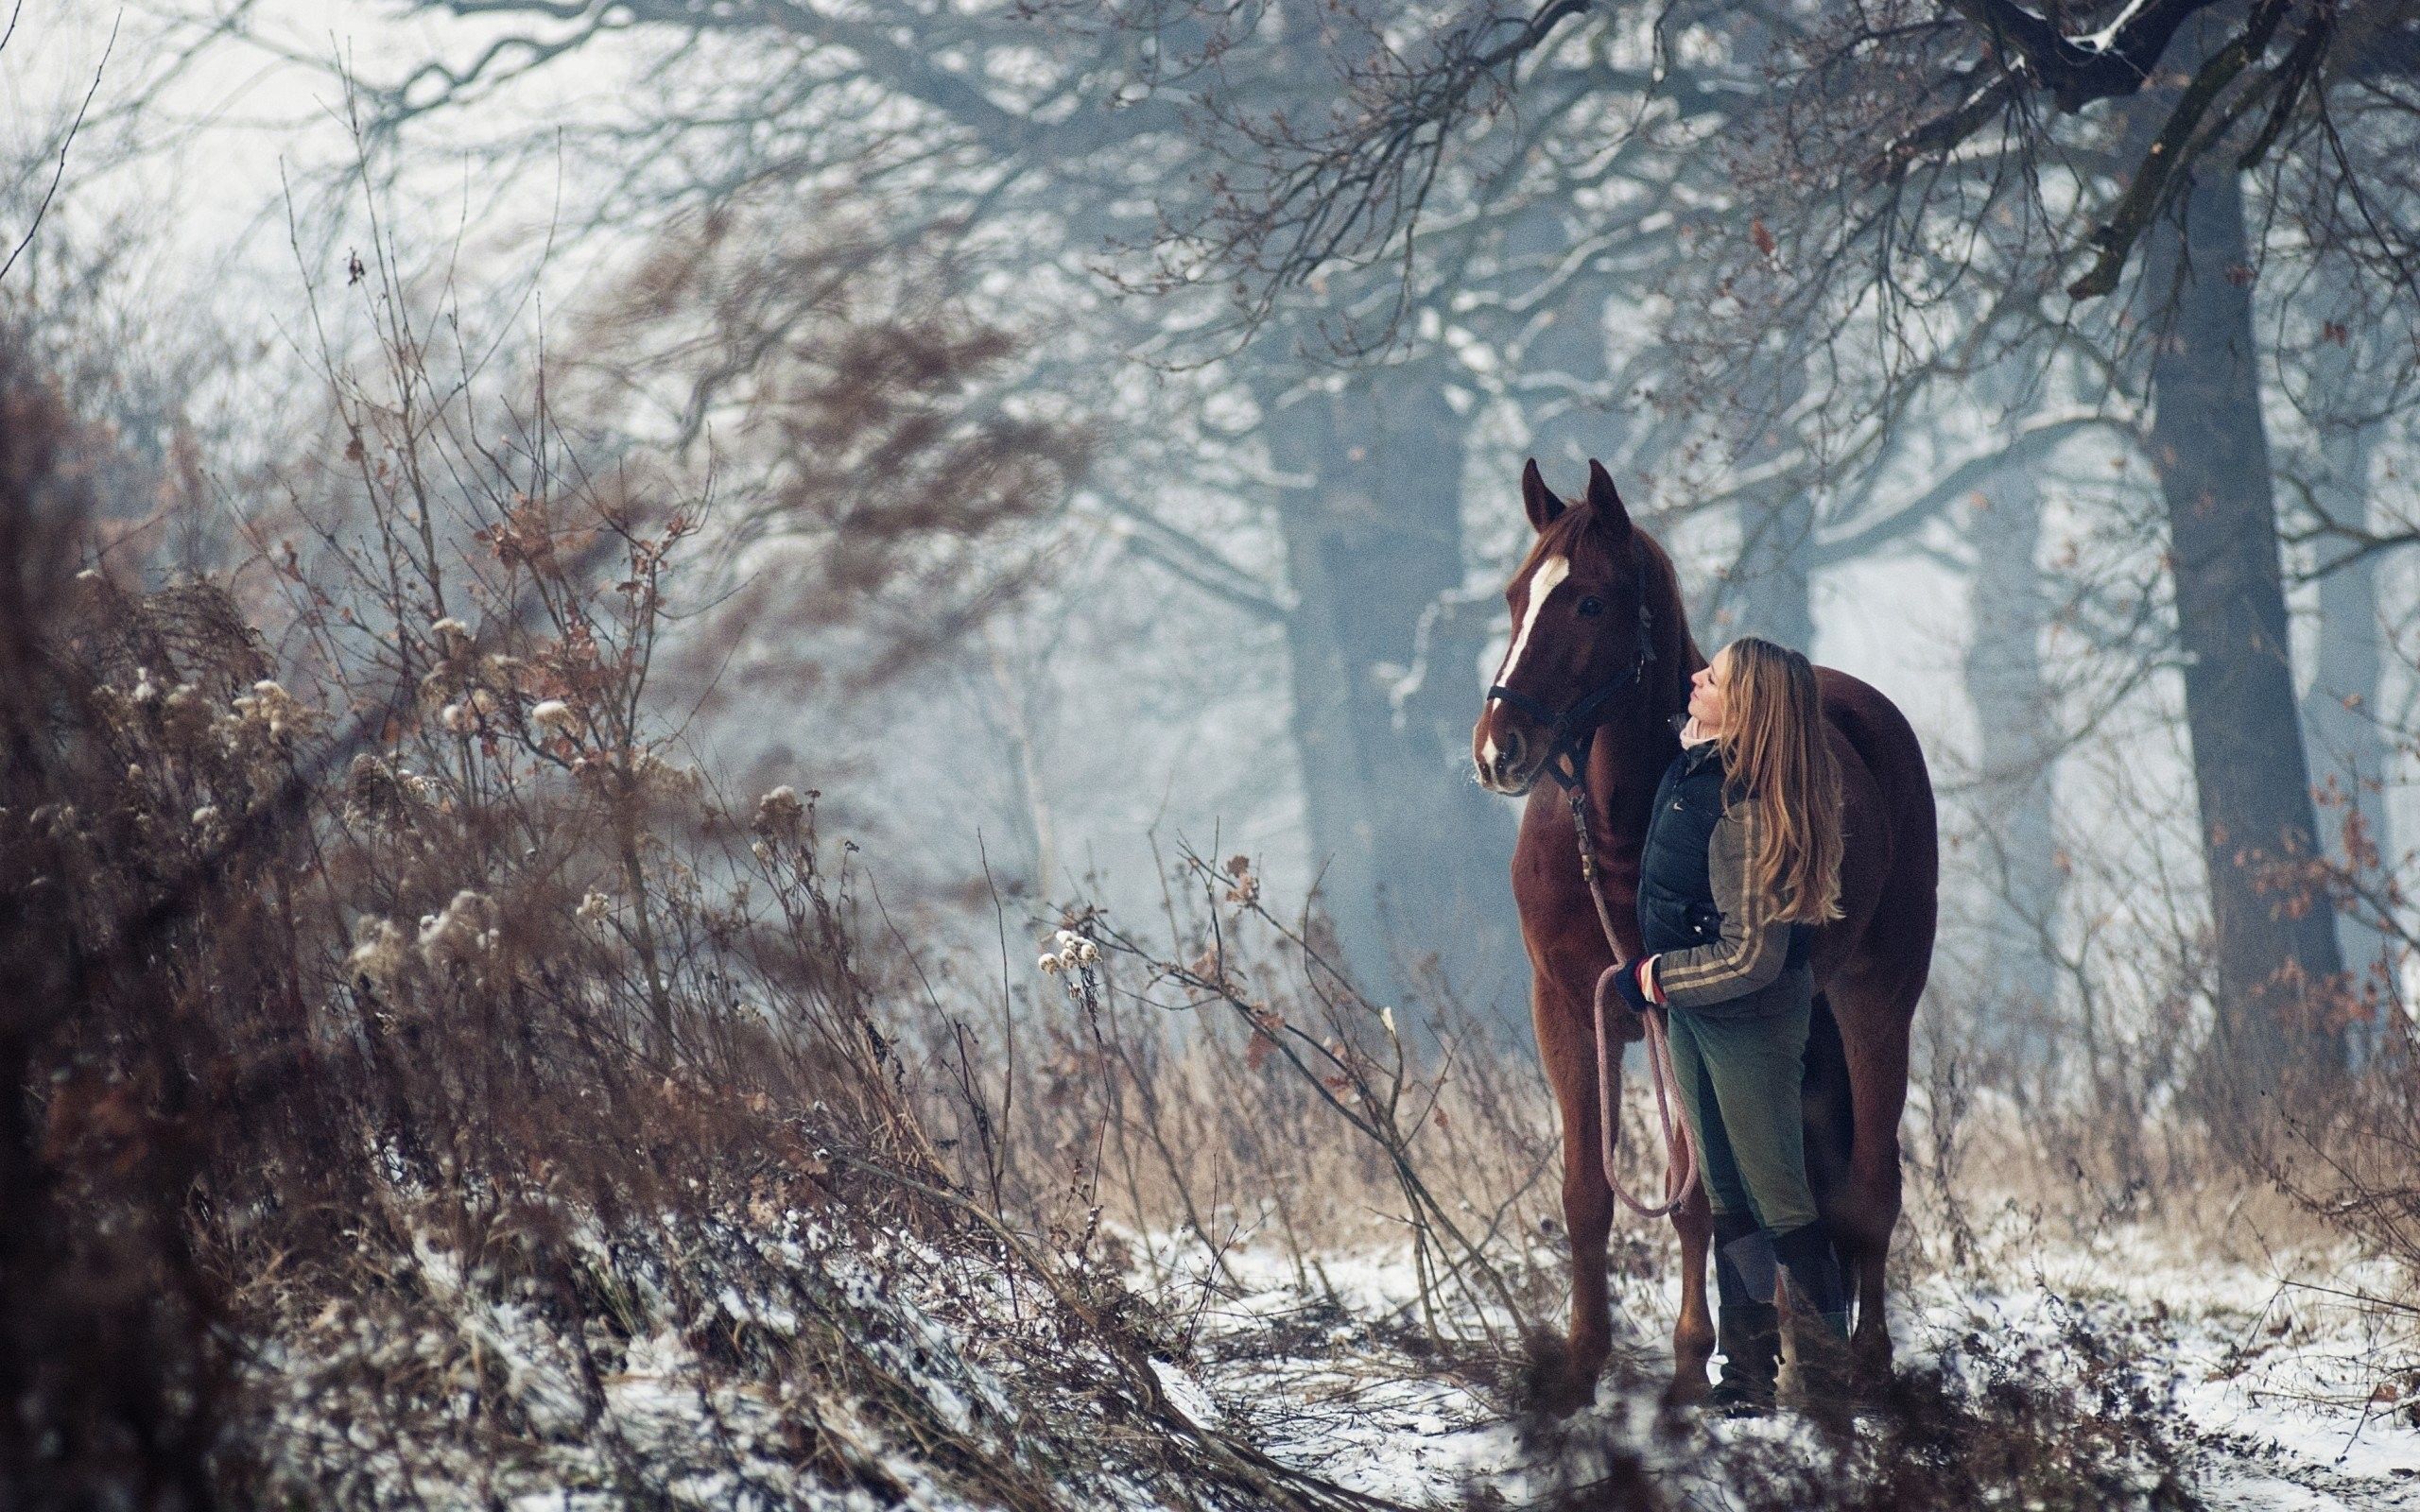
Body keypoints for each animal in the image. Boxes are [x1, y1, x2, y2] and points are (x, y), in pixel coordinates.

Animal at [1461, 455, 1936, 1413]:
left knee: (1870, 1187)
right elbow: (1585, 1193)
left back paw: (1862, 1370)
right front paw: (1580, 1368)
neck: (1621, 832)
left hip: (1876, 1000)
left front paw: (1688, 1366)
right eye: (1516, 595)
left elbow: (1693, 1203)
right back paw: (1801, 1353)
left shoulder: (1674, 1014)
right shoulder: (1567, 1010)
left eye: (1589, 603)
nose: (1499, 749)